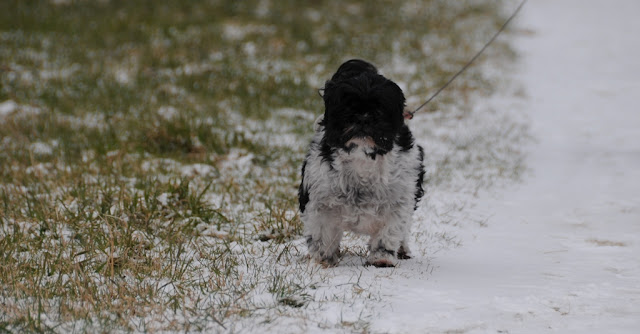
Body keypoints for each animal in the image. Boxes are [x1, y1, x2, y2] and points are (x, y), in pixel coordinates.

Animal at [298, 58, 424, 266]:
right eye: (348, 107)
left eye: (379, 109)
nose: (363, 117)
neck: (362, 158)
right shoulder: (320, 202)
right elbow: (322, 235)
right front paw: (325, 258)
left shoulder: (398, 202)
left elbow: (388, 232)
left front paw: (382, 258)